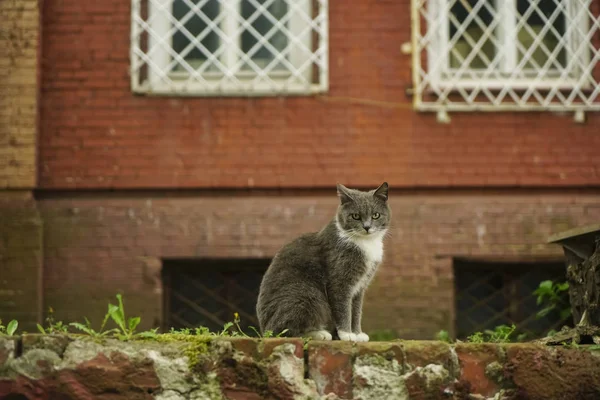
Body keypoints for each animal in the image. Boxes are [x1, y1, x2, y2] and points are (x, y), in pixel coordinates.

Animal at [255, 181, 392, 340]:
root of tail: (264, 329)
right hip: (307, 294)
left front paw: (357, 334)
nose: (367, 227)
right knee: (286, 330)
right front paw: (346, 334)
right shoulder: (340, 280)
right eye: (355, 216)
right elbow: (344, 308)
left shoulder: (360, 286)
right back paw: (320, 333)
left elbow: (356, 311)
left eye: (376, 215)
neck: (365, 242)